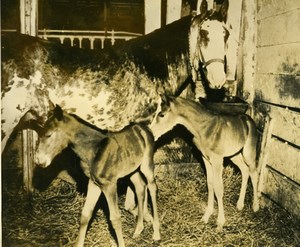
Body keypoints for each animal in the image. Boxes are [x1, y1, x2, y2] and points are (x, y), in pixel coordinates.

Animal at [35, 105, 161, 246]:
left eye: (49, 134)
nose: (39, 161)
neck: (93, 150)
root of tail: (144, 127)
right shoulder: (94, 183)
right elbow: (85, 214)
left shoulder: (109, 185)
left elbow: (115, 218)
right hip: (132, 169)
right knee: (140, 186)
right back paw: (138, 230)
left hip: (146, 164)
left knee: (152, 187)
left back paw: (156, 233)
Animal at [151, 96, 258, 230]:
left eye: (161, 114)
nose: (151, 132)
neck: (204, 129)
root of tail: (249, 119)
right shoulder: (206, 159)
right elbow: (210, 184)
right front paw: (206, 216)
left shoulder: (217, 160)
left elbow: (219, 188)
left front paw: (220, 222)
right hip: (234, 154)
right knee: (244, 170)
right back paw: (240, 205)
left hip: (248, 152)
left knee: (254, 173)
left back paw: (255, 207)